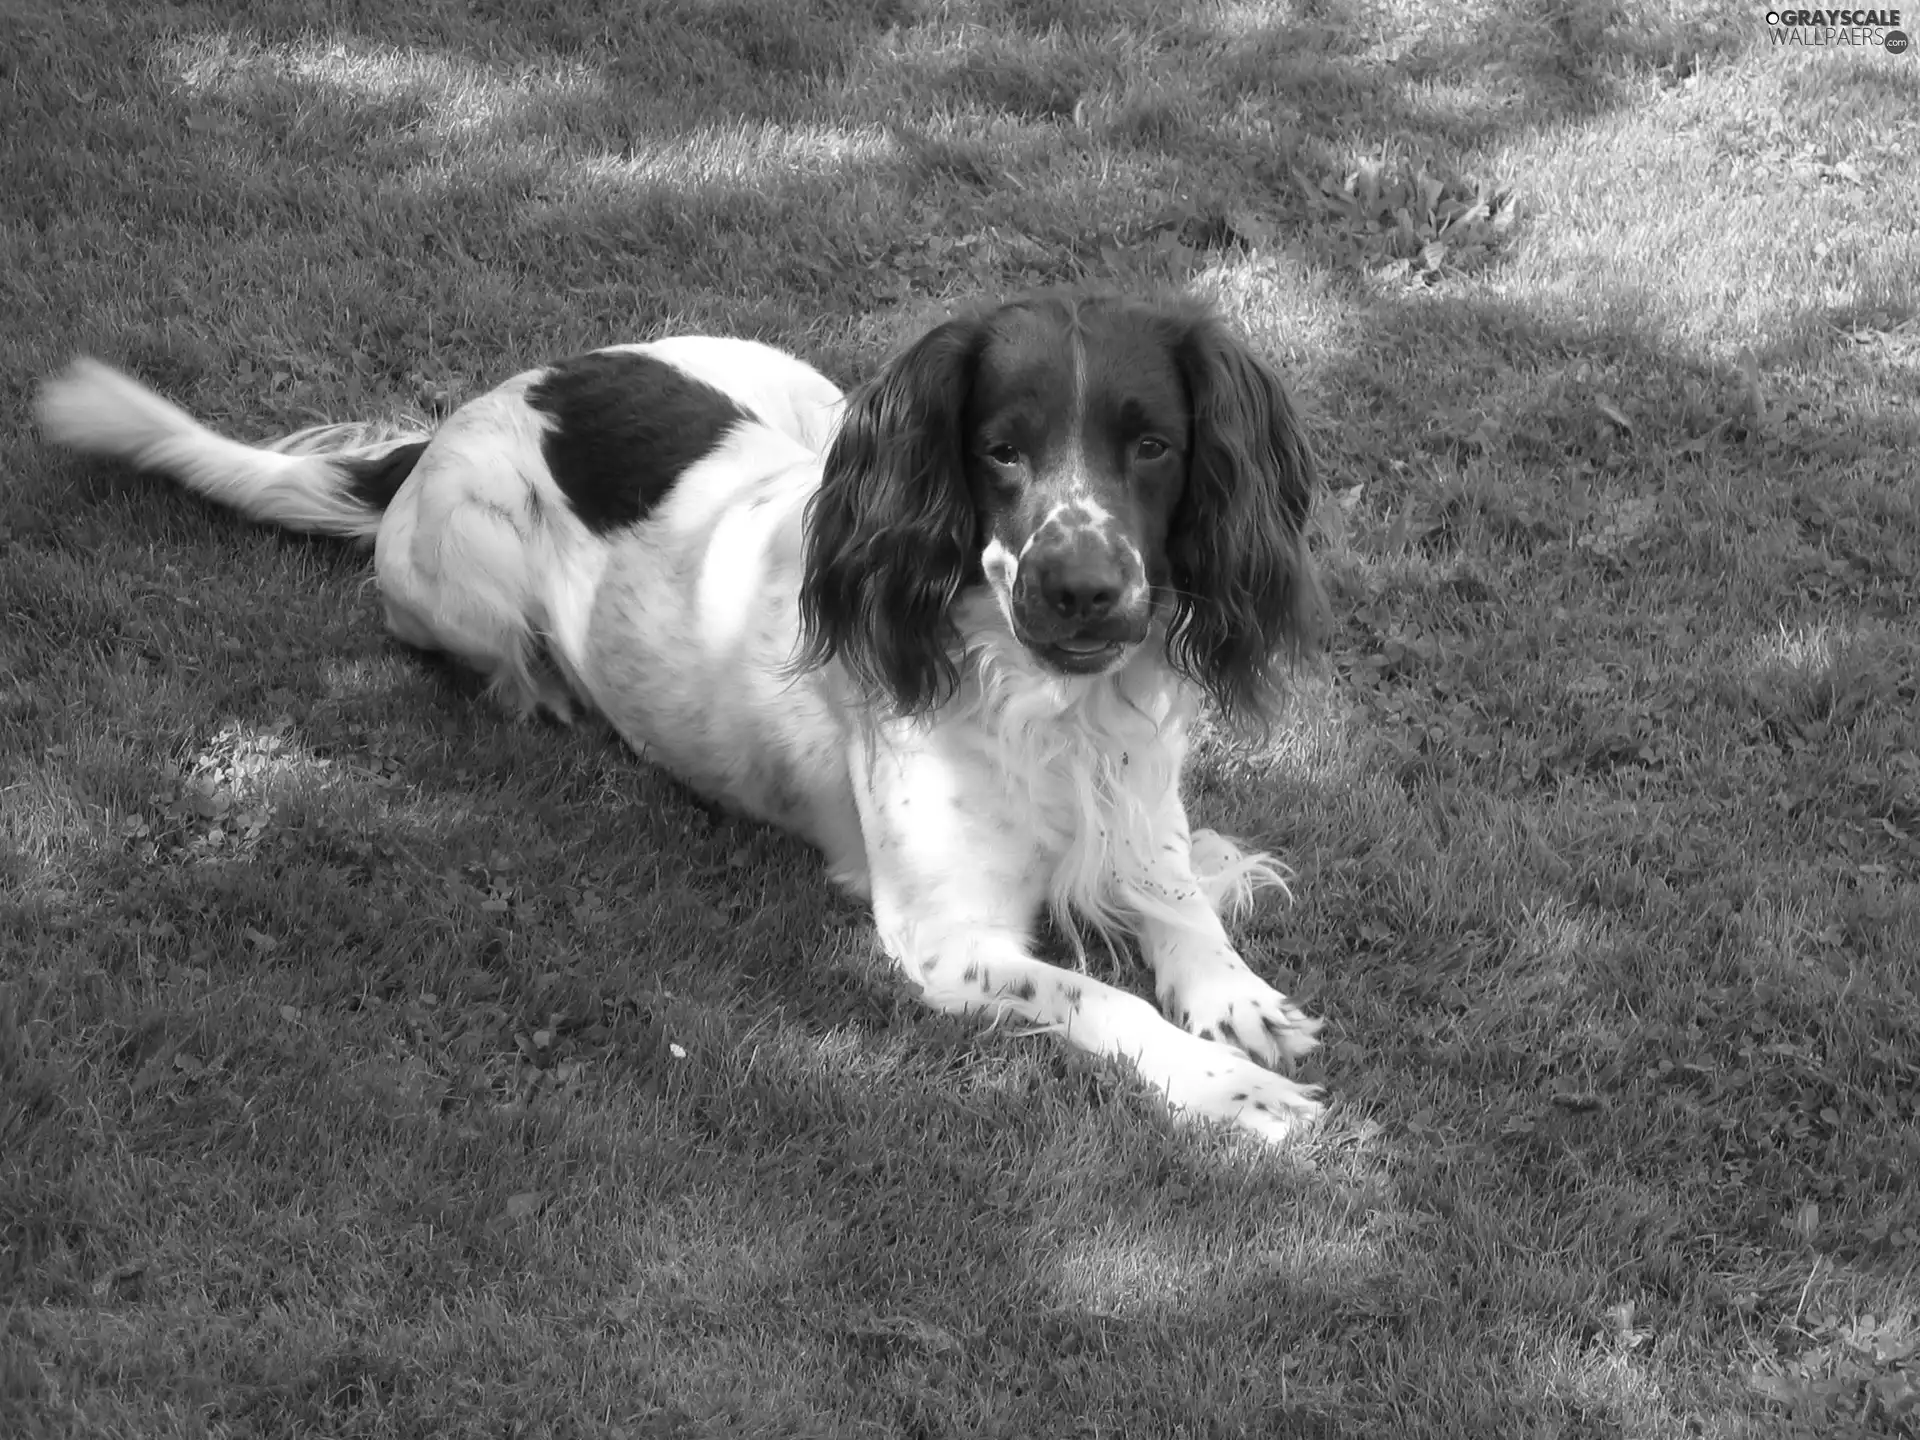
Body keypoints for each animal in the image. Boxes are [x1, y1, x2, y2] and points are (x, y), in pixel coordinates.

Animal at [30, 295, 1328, 1152]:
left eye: (1152, 445)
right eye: (999, 452)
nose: (1084, 590)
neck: (1051, 705)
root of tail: (465, 414)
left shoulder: (1141, 809)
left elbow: (1185, 916)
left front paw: (1240, 1001)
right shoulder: (945, 938)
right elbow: (1099, 996)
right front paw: (1226, 1087)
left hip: (802, 389)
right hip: (465, 579)